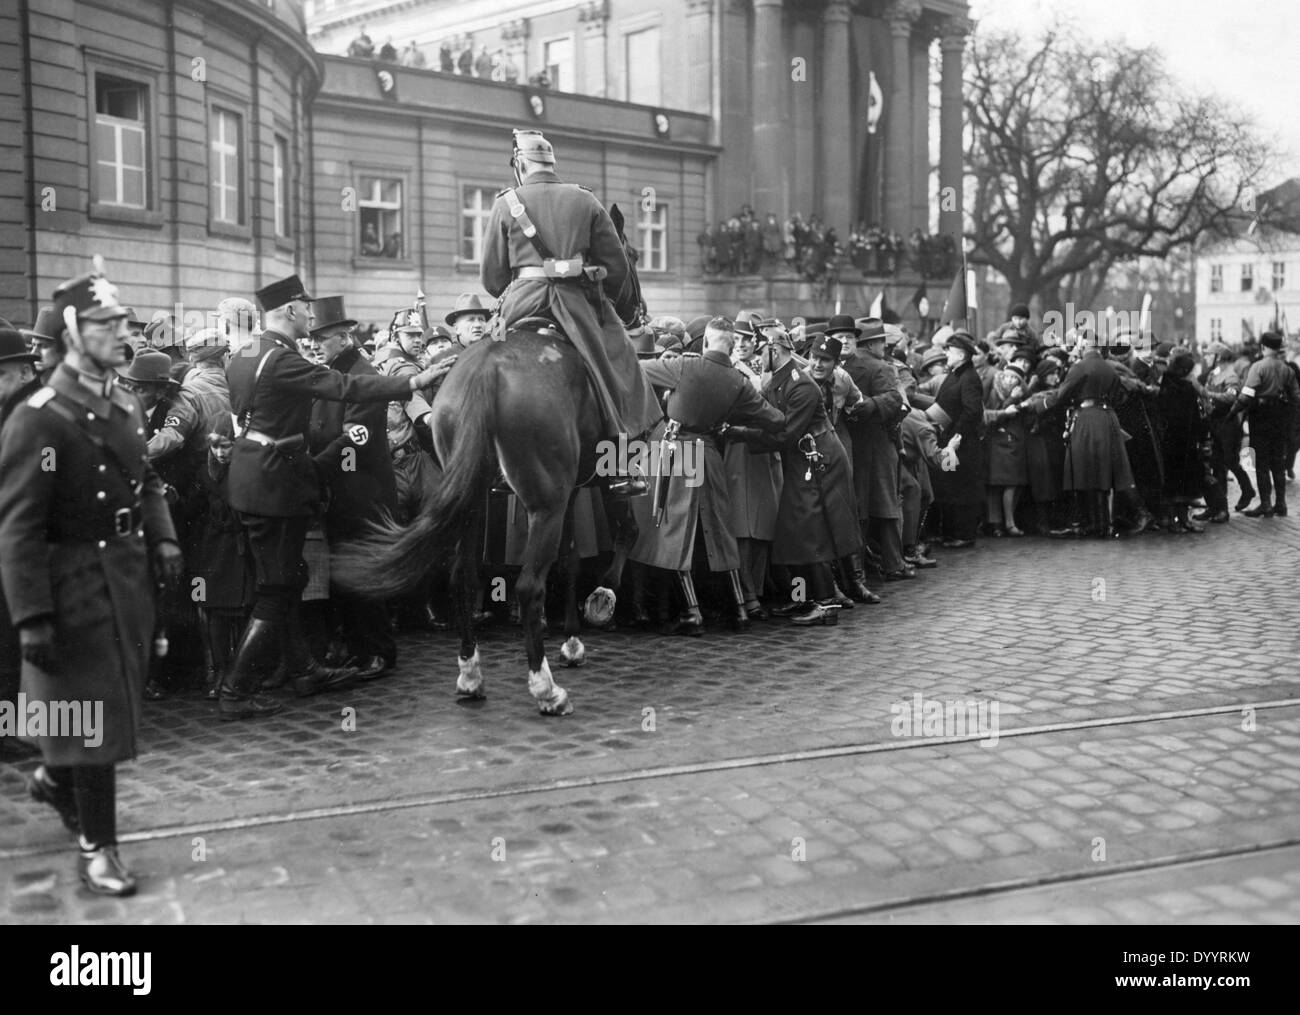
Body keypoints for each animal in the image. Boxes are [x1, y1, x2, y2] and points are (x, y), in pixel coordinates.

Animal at [330, 204, 644, 712]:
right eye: (629, 255)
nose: (638, 311)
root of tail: (486, 369)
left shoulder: (569, 491)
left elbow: (571, 559)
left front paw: (572, 640)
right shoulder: (590, 481)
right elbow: (619, 536)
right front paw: (600, 602)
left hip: (477, 497)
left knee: (463, 576)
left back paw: (470, 674)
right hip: (543, 500)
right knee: (529, 585)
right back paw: (544, 687)